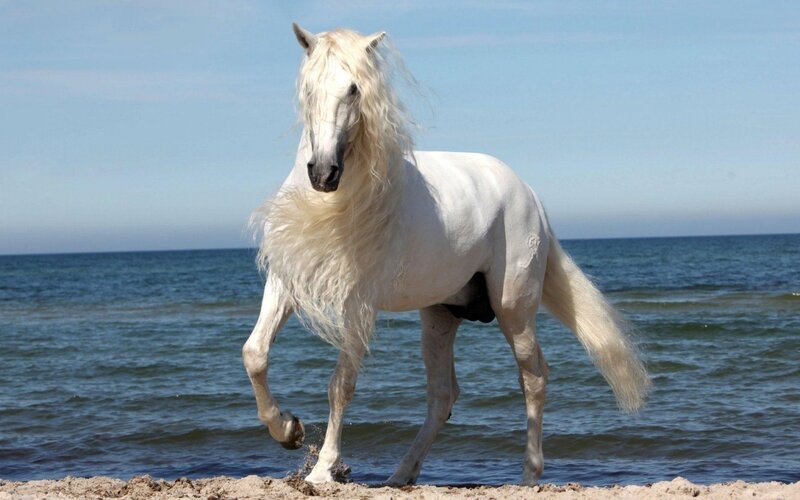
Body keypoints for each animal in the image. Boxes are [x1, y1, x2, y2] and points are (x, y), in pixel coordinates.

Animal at [243, 23, 651, 486]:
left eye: (354, 89)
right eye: (308, 88)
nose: (324, 173)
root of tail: (527, 191)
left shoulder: (359, 304)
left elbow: (341, 383)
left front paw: (323, 469)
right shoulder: (285, 282)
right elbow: (255, 354)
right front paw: (288, 431)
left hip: (513, 308)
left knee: (533, 377)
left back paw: (529, 474)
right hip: (440, 315)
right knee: (443, 396)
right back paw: (401, 475)